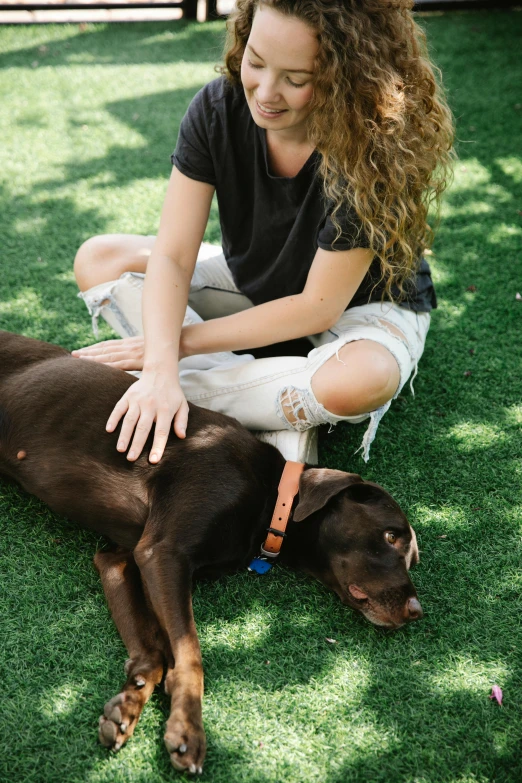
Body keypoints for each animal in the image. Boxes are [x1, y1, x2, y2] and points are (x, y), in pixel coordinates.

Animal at [0, 330, 420, 772]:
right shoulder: (162, 554)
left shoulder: (121, 560)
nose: (417, 611)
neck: (271, 498)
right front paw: (186, 729)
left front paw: (128, 704)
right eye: (390, 536)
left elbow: (154, 654)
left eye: (413, 558)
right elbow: (189, 654)